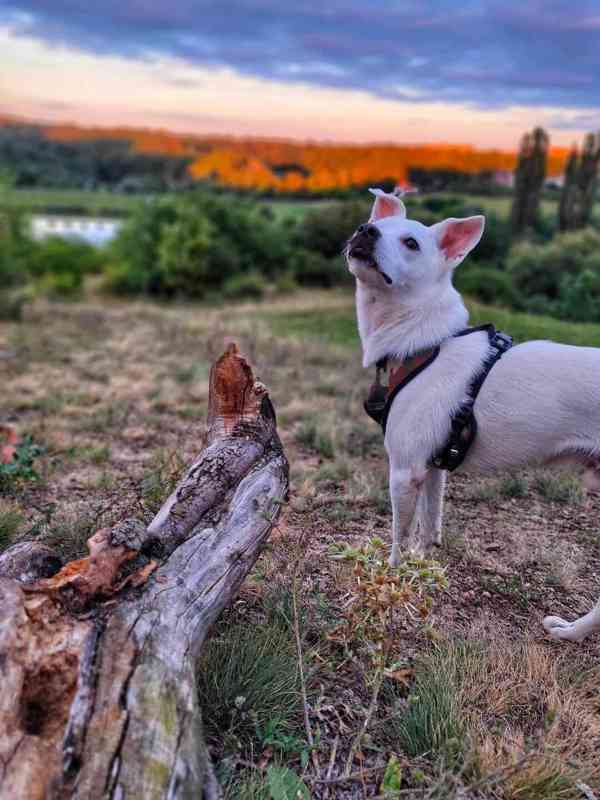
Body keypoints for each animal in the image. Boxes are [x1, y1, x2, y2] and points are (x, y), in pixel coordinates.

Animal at [346, 189, 600, 644]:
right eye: (370, 225)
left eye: (411, 243)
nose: (366, 230)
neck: (425, 340)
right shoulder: (431, 469)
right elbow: (428, 526)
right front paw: (421, 566)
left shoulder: (404, 472)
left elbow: (398, 539)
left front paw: (389, 581)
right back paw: (572, 630)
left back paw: (572, 632)